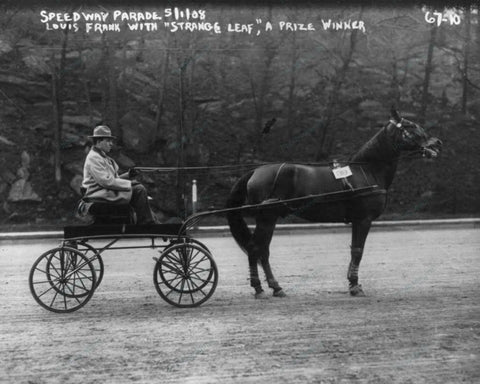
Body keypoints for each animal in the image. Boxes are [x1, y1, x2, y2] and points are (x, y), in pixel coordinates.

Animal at [226, 109, 442, 298]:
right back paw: (259, 289)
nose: (437, 143)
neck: (367, 171)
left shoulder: (358, 220)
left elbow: (355, 251)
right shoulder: (364, 219)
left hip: (268, 219)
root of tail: (255, 171)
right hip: (266, 218)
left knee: (263, 251)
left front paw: (353, 283)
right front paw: (355, 286)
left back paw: (275, 287)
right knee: (255, 248)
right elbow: (357, 251)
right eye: (410, 125)